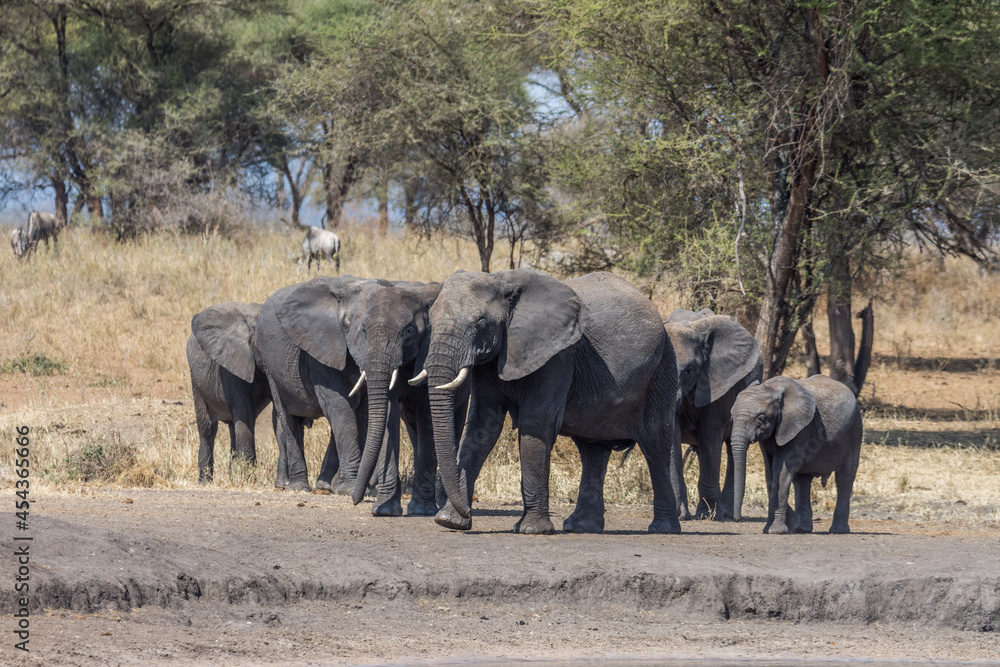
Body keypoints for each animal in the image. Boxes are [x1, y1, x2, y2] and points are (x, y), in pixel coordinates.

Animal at [188, 304, 272, 486]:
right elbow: (244, 409)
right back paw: (205, 482)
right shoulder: (231, 365)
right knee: (208, 429)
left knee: (234, 427)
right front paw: (248, 480)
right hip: (196, 381)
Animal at [418, 268, 684, 536]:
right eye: (432, 319)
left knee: (655, 444)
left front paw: (531, 530)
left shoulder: (558, 357)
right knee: (593, 450)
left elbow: (535, 425)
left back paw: (663, 528)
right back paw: (581, 527)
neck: (502, 281)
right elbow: (482, 429)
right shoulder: (491, 362)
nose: (468, 511)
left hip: (663, 369)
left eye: (481, 324)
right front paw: (450, 521)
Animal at [668, 310, 760, 520]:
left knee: (731, 447)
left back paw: (726, 513)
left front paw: (708, 514)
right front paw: (680, 515)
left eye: (689, 370)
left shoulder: (718, 380)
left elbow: (710, 433)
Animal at [732, 378, 864, 536]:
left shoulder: (800, 429)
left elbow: (781, 470)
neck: (771, 388)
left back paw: (838, 531)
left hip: (854, 431)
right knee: (803, 480)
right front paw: (791, 524)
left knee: (844, 477)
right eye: (731, 416)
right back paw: (803, 529)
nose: (738, 519)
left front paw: (776, 531)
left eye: (761, 418)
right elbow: (770, 472)